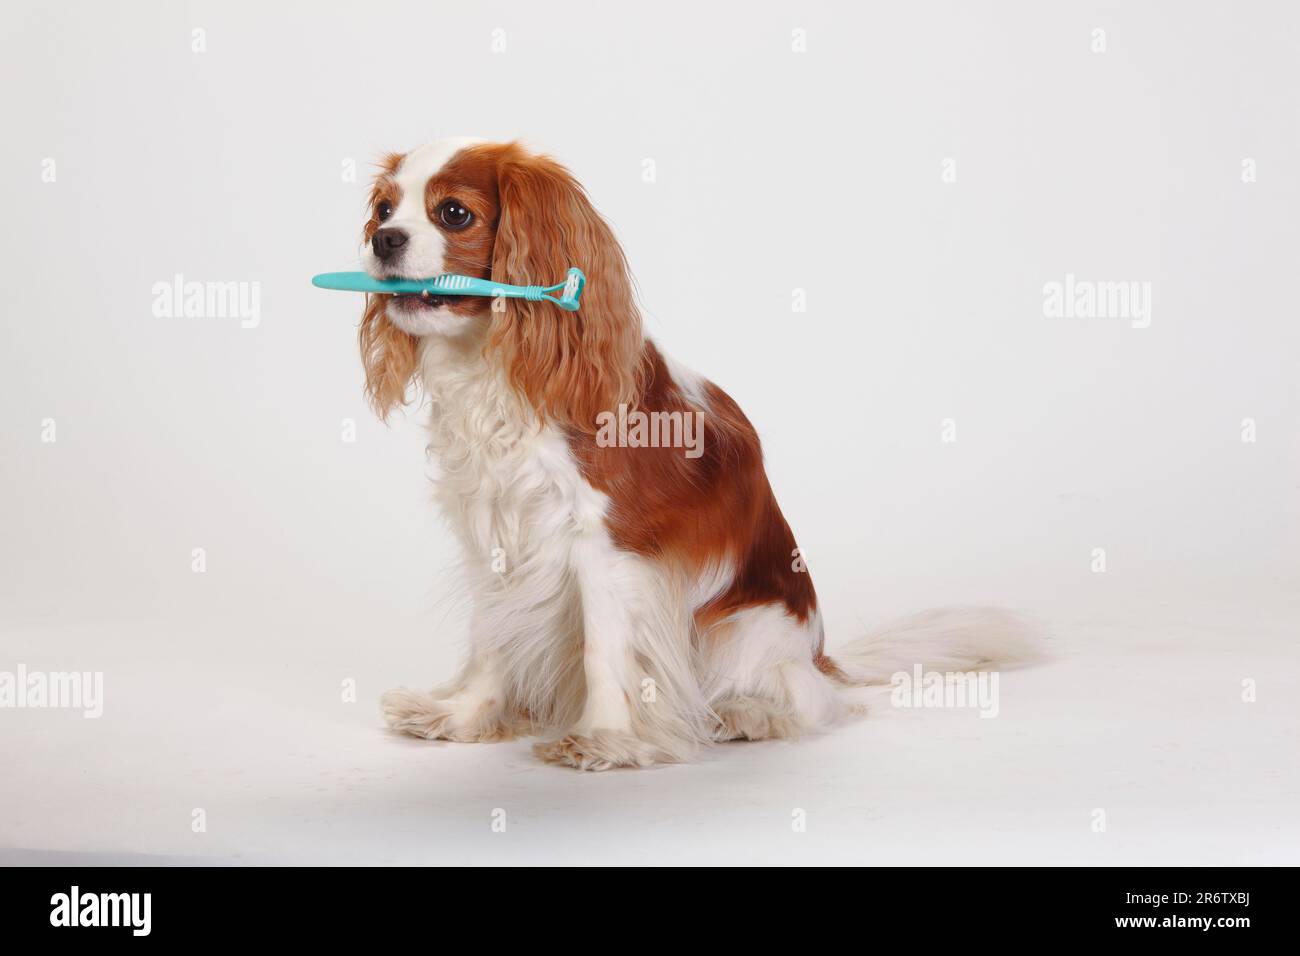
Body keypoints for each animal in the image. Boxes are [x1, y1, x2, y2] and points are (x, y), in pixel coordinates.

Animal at [356, 136, 1034, 770]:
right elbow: (492, 637)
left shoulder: (608, 548)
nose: (383, 240)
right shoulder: (496, 537)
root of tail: (820, 654)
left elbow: (604, 651)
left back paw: (747, 714)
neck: (494, 374)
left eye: (453, 213)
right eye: (384, 209)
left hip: (739, 629)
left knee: (814, 702)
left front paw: (603, 740)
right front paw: (463, 717)